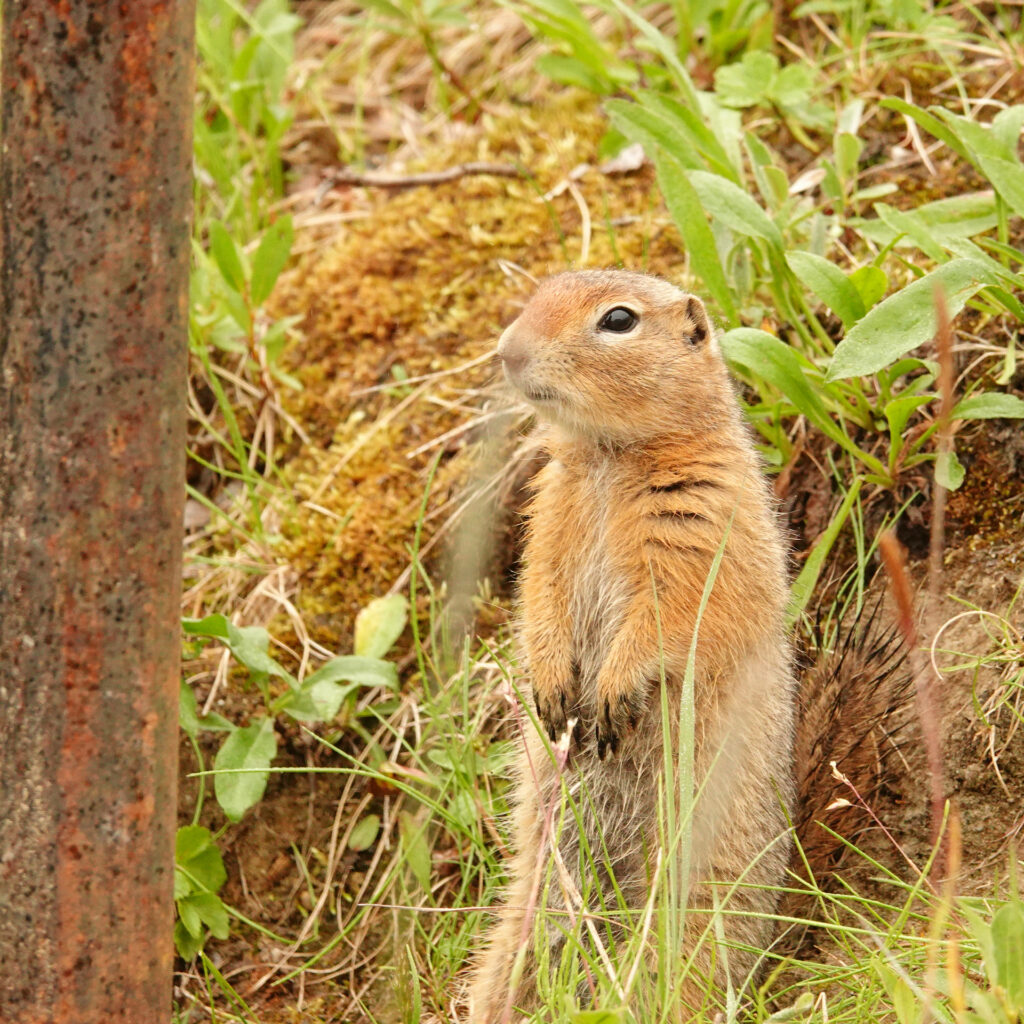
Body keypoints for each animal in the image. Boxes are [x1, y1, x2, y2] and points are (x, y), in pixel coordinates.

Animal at [468, 268, 794, 1019]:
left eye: (618, 320)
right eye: (542, 289)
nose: (506, 352)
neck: (607, 458)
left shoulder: (702, 520)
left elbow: (671, 614)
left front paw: (614, 691)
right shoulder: (550, 519)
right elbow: (540, 592)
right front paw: (551, 685)